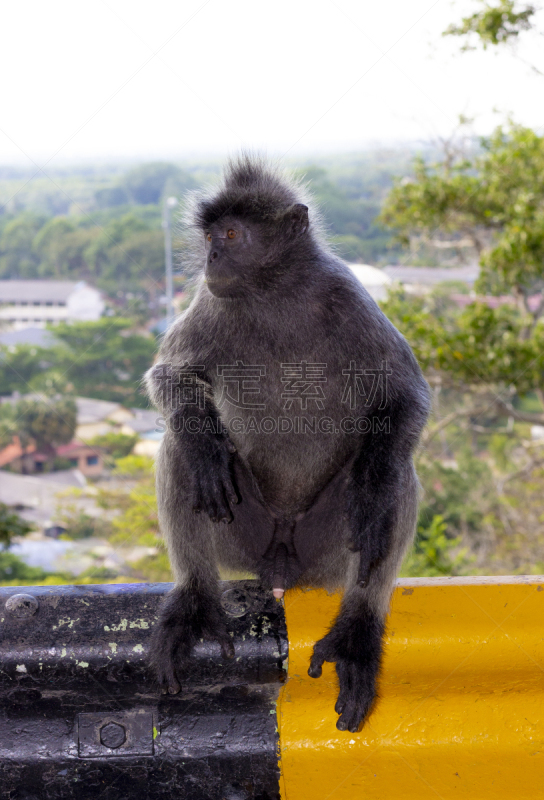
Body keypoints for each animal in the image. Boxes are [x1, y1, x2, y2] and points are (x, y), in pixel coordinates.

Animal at [146, 155, 434, 732]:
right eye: (209, 236)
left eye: (232, 235)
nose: (211, 257)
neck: (274, 295)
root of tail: (281, 561)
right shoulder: (214, 299)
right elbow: (171, 377)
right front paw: (206, 449)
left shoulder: (346, 295)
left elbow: (405, 397)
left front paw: (373, 495)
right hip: (244, 536)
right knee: (182, 450)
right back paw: (194, 599)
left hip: (325, 552)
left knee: (394, 471)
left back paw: (357, 630)